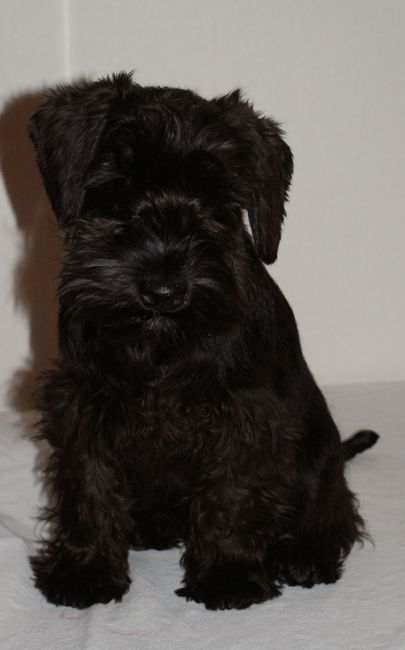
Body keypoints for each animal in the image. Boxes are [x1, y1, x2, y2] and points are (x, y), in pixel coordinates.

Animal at [28, 72, 378, 610]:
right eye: (118, 187)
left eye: (217, 203)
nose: (164, 289)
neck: (160, 346)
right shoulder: (83, 403)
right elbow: (89, 486)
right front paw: (86, 570)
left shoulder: (244, 414)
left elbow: (232, 492)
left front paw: (228, 573)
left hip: (319, 451)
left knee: (332, 507)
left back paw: (305, 553)